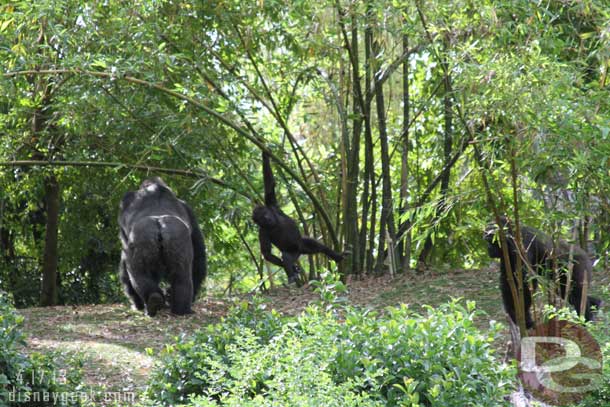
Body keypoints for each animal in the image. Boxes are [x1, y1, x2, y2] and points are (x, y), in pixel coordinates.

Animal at [119, 177, 207, 318]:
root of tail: (160, 224)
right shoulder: (189, 209)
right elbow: (199, 256)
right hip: (174, 239)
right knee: (181, 276)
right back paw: (171, 306)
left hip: (145, 238)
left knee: (138, 274)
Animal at [251, 151, 344, 286]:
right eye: (261, 219)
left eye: (264, 214)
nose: (267, 218)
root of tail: (300, 251)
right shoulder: (262, 232)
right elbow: (267, 253)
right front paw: (293, 269)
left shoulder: (271, 204)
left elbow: (269, 185)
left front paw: (264, 153)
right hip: (294, 251)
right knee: (286, 257)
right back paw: (292, 275)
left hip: (302, 244)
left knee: (314, 244)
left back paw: (336, 256)